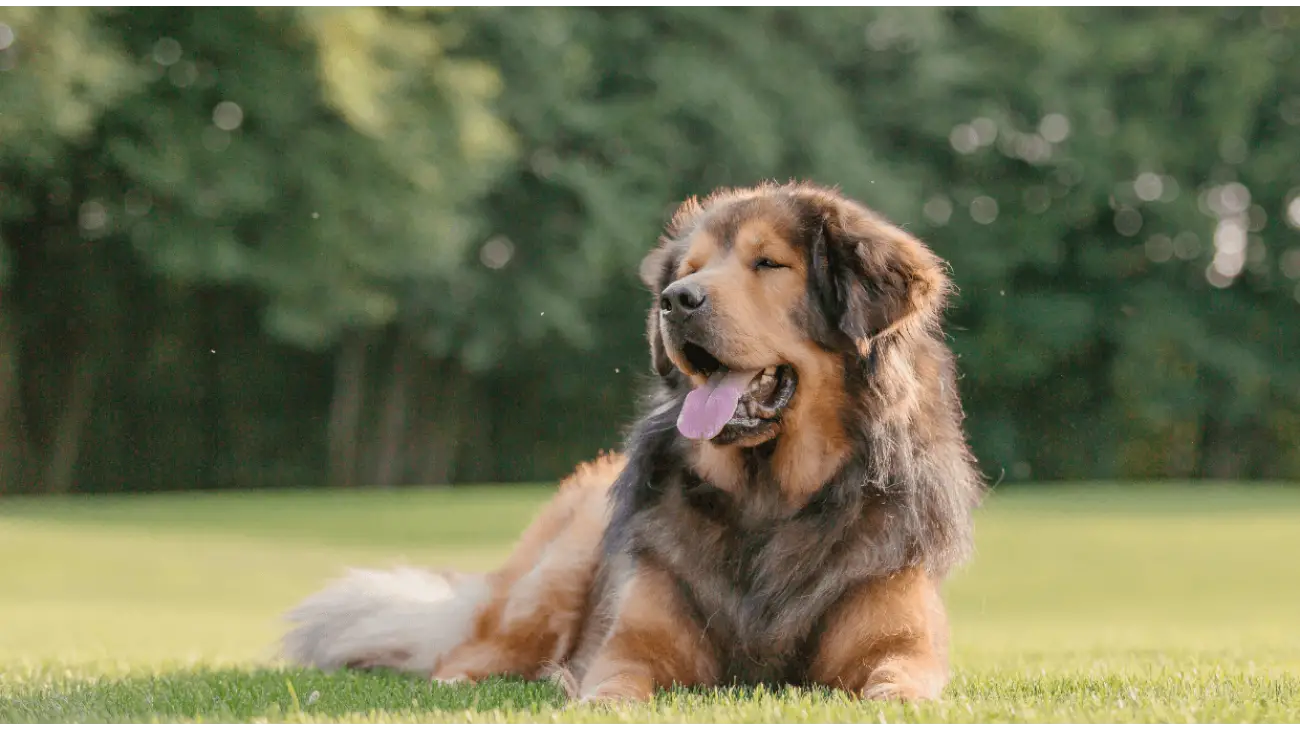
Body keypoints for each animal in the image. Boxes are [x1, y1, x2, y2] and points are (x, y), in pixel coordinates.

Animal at [279, 180, 977, 701]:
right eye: (690, 271)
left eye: (768, 263)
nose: (677, 300)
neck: (769, 500)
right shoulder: (634, 643)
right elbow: (611, 684)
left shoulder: (899, 643)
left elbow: (899, 685)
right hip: (555, 574)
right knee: (467, 654)